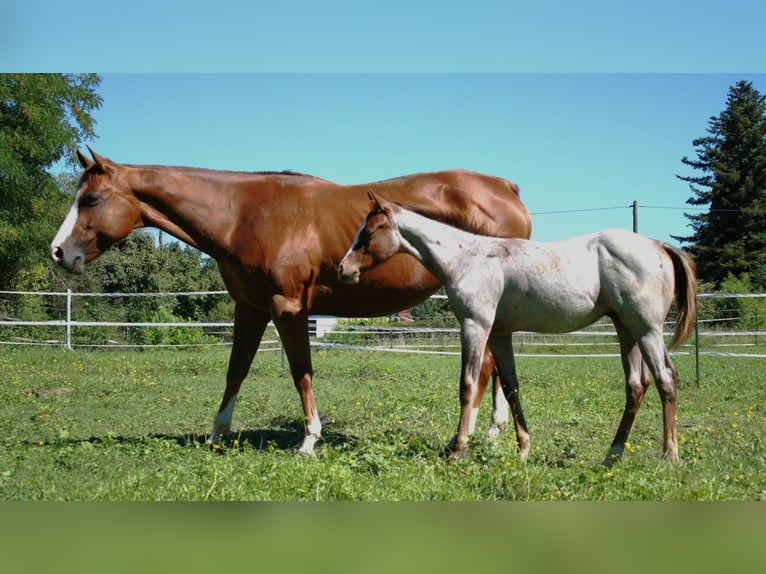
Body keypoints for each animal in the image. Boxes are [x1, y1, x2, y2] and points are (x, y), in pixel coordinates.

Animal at [49, 148, 531, 456]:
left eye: (91, 198)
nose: (58, 252)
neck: (244, 215)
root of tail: (507, 188)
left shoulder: (289, 308)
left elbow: (302, 372)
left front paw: (309, 440)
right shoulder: (250, 309)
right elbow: (236, 370)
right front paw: (216, 435)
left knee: (484, 369)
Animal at [338, 193, 697, 464]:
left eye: (367, 233)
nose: (343, 269)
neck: (468, 258)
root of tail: (659, 245)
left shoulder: (475, 326)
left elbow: (468, 385)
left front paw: (458, 450)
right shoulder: (500, 334)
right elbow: (511, 387)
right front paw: (523, 449)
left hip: (646, 329)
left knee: (666, 378)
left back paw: (669, 456)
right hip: (626, 329)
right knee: (636, 385)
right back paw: (612, 455)